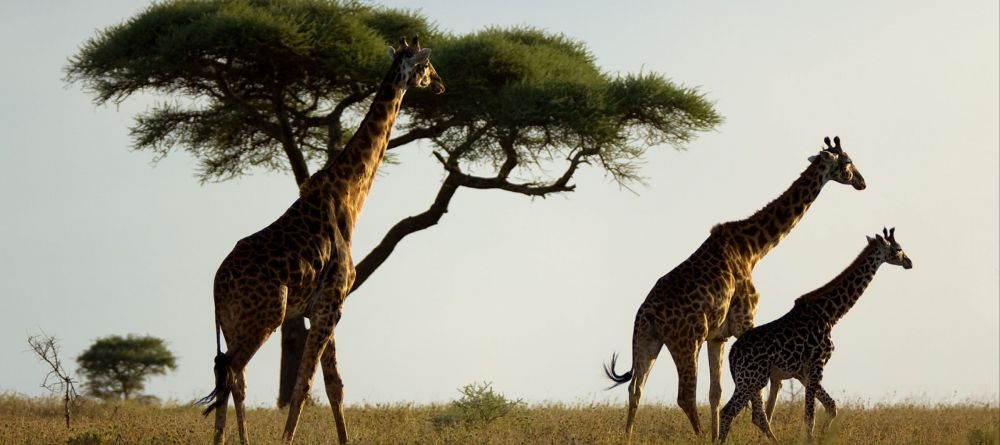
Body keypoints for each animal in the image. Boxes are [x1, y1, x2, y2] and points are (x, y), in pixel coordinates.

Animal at [194, 35, 442, 444]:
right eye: (426, 66)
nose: (440, 85)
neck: (349, 193)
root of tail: (217, 285)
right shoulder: (332, 301)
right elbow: (305, 385)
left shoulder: (324, 306)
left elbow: (335, 385)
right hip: (264, 317)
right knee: (233, 372)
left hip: (232, 323)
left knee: (229, 375)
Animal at [600, 136, 868, 440]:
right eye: (847, 161)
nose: (862, 181)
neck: (752, 249)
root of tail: (648, 312)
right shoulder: (744, 321)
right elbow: (761, 384)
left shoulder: (718, 336)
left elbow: (716, 393)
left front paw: (720, 435)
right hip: (686, 340)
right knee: (684, 396)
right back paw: (699, 438)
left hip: (647, 339)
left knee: (636, 389)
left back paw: (628, 438)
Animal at [720, 227, 916, 442]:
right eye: (898, 249)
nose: (909, 262)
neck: (830, 314)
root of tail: (732, 354)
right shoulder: (817, 365)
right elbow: (810, 417)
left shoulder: (803, 373)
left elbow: (831, 406)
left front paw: (823, 436)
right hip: (752, 379)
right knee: (728, 412)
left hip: (752, 380)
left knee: (758, 416)